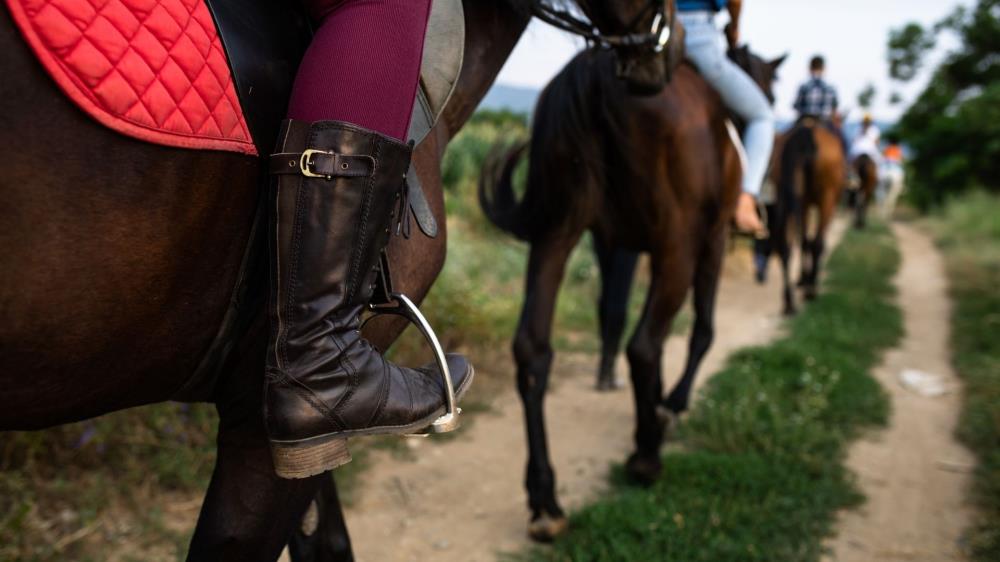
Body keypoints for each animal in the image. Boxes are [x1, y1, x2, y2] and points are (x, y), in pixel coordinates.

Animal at [478, 45, 782, 541]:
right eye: (770, 95)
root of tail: (595, 69)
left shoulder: (622, 244)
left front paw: (655, 408)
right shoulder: (711, 241)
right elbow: (700, 330)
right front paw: (669, 407)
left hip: (558, 230)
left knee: (533, 349)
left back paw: (546, 500)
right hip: (678, 245)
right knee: (644, 345)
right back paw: (645, 458)